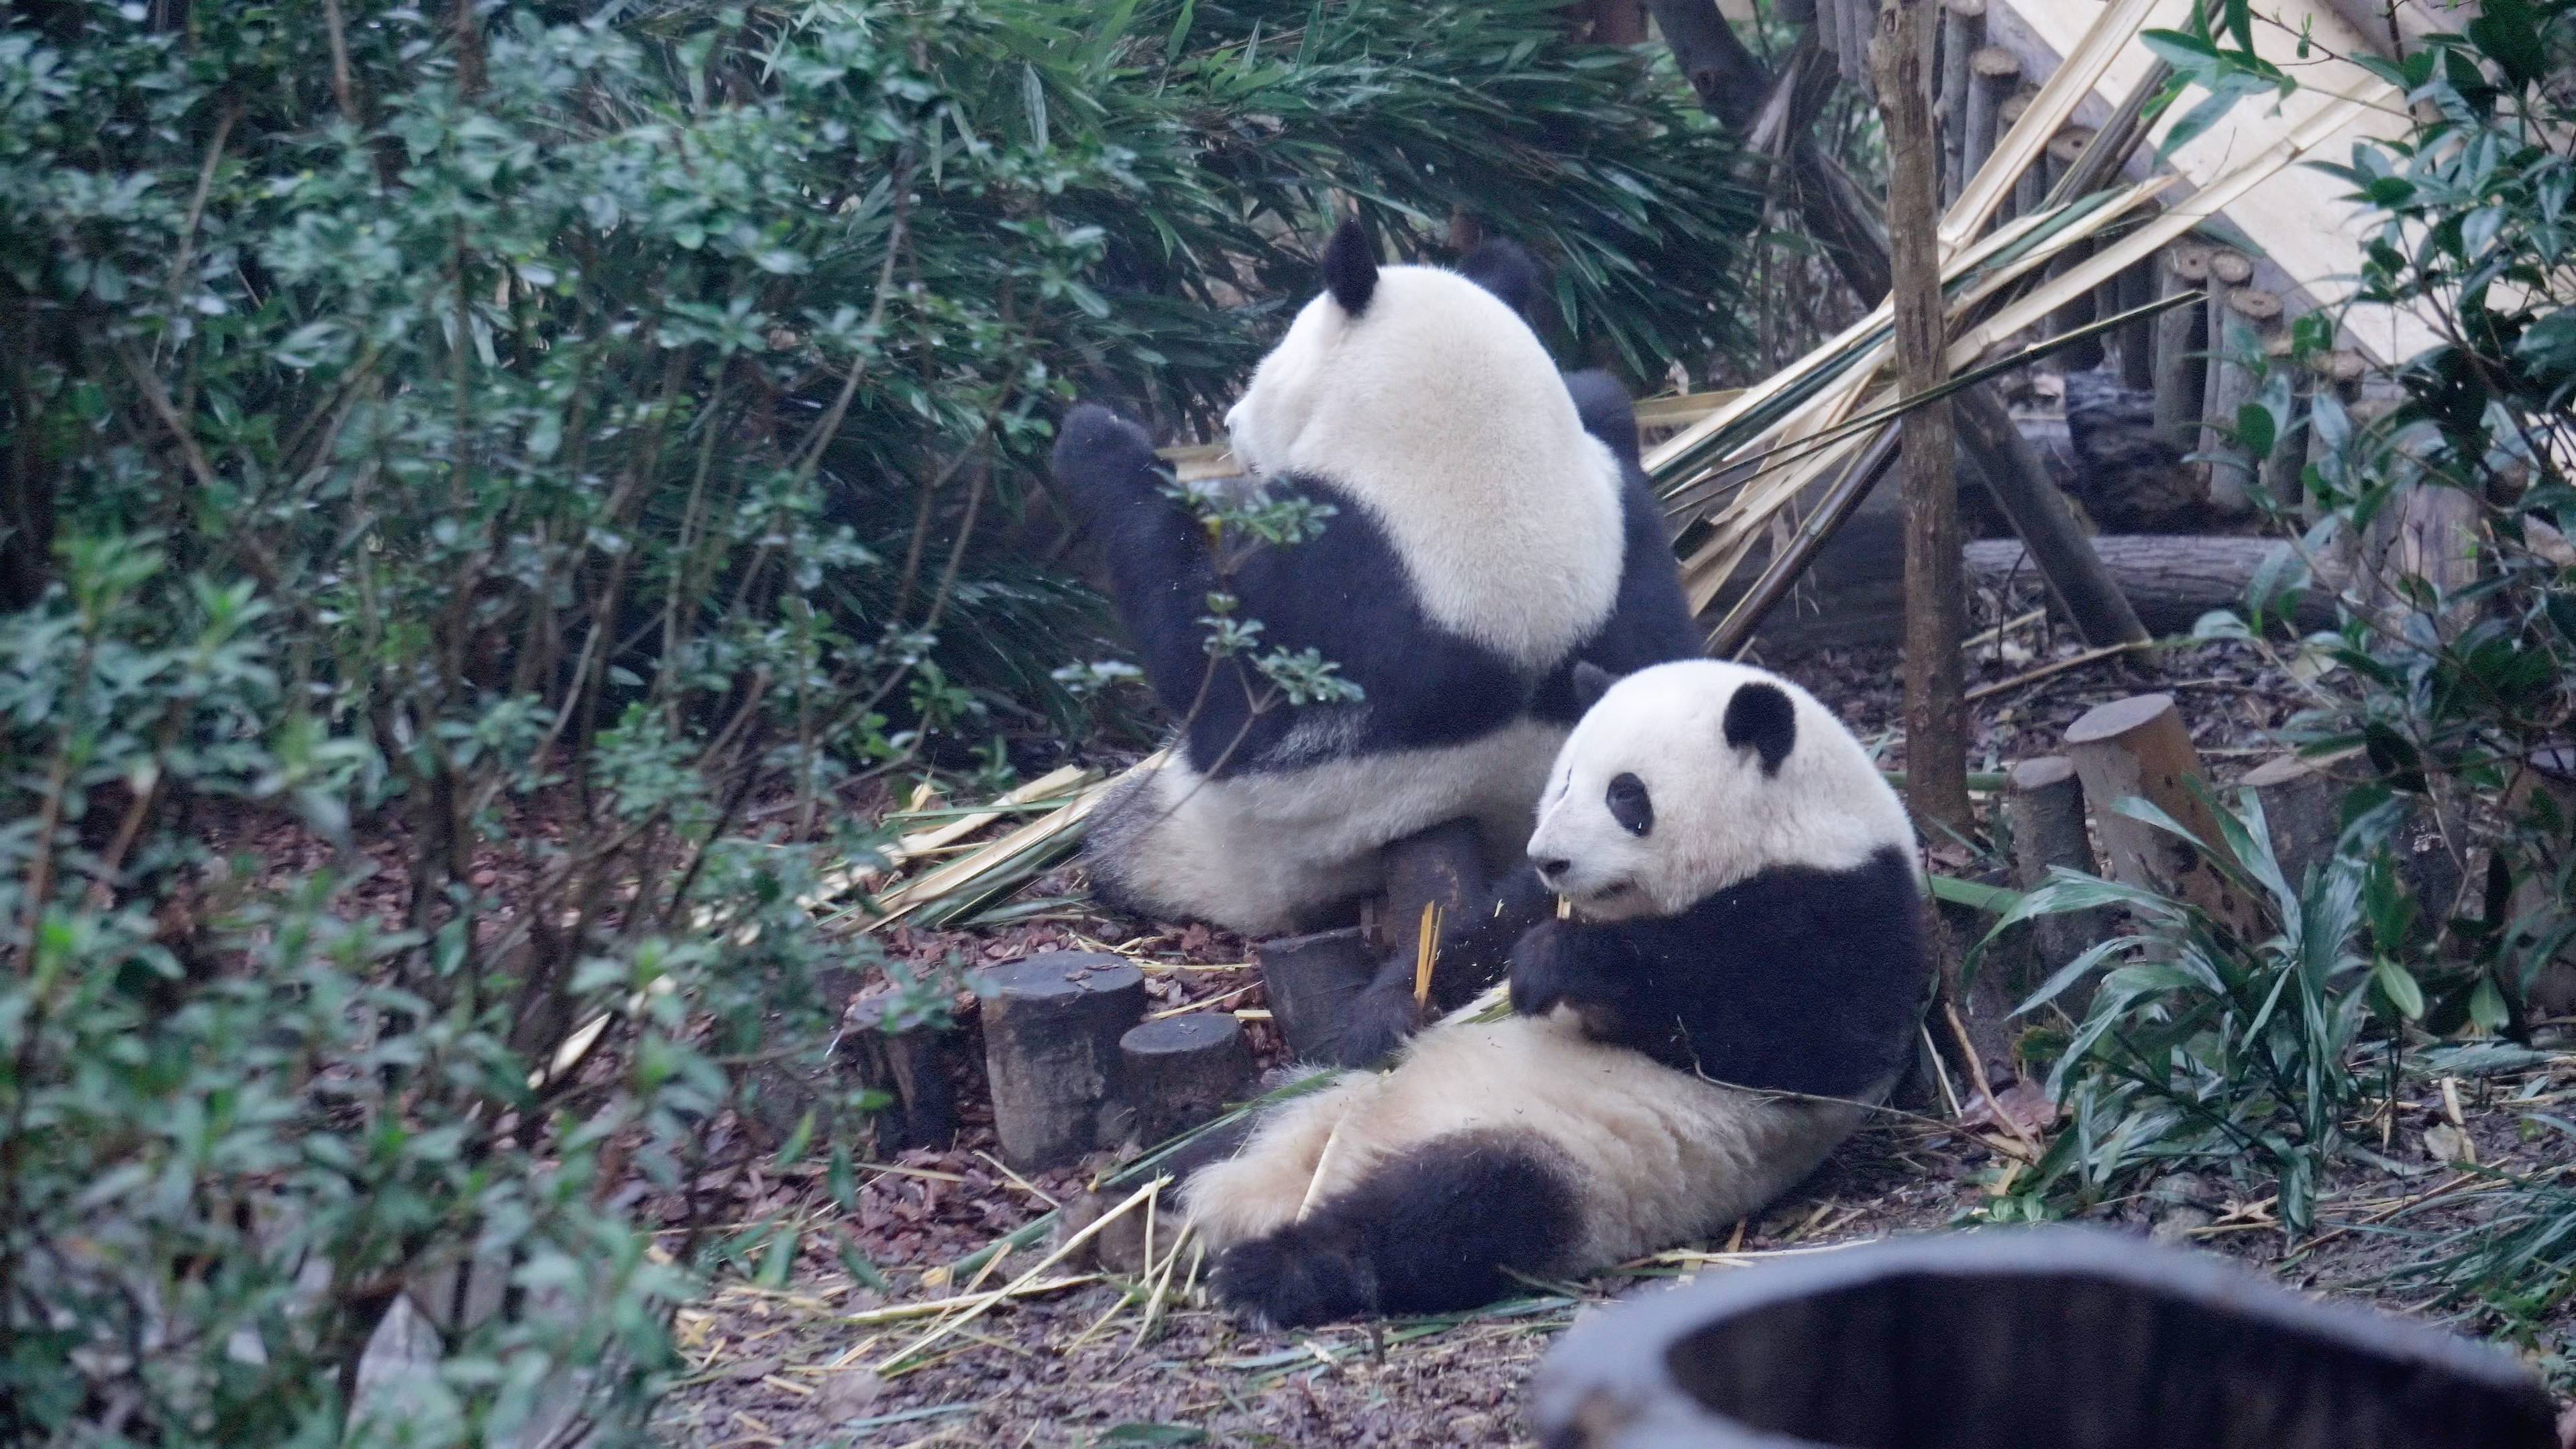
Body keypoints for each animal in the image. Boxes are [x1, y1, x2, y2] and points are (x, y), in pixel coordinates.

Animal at [1040, 214, 1690, 943]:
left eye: (1273, 361)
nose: (1230, 425)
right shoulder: (1628, 529)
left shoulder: (1329, 571)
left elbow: (1209, 676)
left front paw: (1095, 438)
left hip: (1220, 849)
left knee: (1125, 837)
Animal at [1179, 659, 1927, 1330]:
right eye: (1565, 780)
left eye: (1626, 795)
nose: (1551, 857)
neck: (1794, 831)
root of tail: (1291, 1182)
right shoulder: (1538, 900)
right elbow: (1474, 936)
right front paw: (1382, 1017)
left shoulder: (1852, 918)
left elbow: (1782, 1034)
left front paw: (1554, 964)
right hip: (1310, 1100)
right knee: (1222, 1136)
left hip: (1564, 1158)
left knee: (1453, 1211)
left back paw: (1270, 1273)